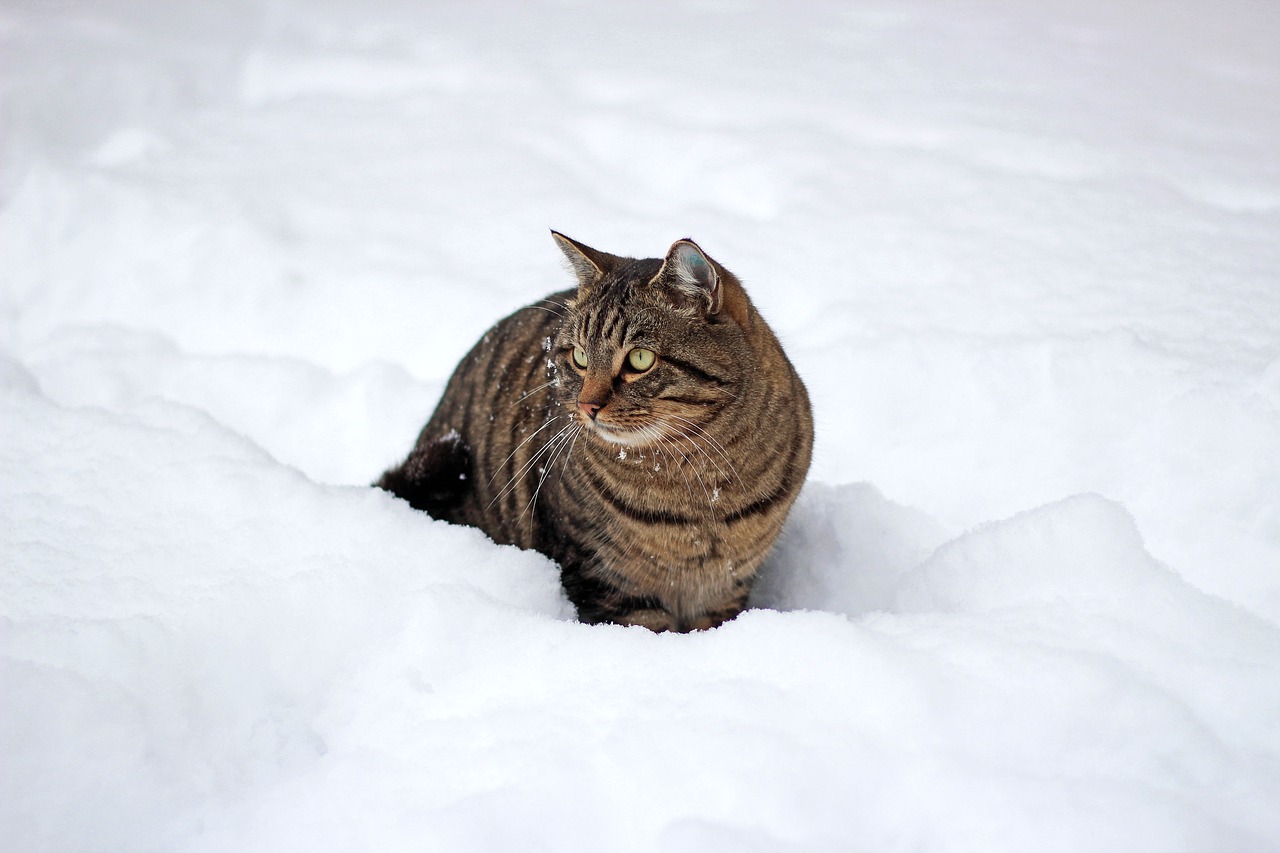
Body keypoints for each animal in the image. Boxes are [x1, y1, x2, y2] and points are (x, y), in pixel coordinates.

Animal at [376, 229, 808, 627]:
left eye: (640, 358)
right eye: (580, 356)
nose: (587, 406)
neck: (699, 489)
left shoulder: (727, 586)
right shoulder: (604, 579)